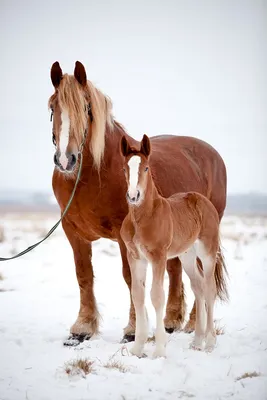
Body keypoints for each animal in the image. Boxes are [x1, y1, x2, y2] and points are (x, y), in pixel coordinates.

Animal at [121, 136, 228, 358]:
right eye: (124, 168)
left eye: (146, 168)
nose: (133, 196)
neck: (143, 217)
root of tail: (202, 199)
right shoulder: (135, 257)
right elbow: (137, 295)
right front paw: (137, 348)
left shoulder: (158, 257)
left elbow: (156, 296)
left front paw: (159, 349)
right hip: (187, 255)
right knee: (198, 286)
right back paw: (197, 341)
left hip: (207, 251)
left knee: (209, 288)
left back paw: (210, 342)